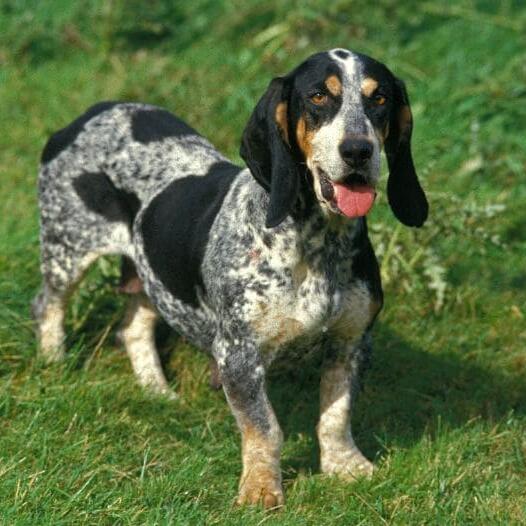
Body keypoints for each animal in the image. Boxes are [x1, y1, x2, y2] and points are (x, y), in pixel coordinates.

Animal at [32, 48, 428, 508]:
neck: (316, 242)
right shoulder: (239, 355)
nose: (359, 151)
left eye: (379, 99)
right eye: (317, 97)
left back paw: (157, 390)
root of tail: (89, 113)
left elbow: (335, 414)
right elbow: (266, 428)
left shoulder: (352, 342)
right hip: (67, 252)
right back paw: (54, 363)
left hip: (155, 274)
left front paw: (344, 467)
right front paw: (260, 489)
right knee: (48, 305)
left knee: (133, 327)